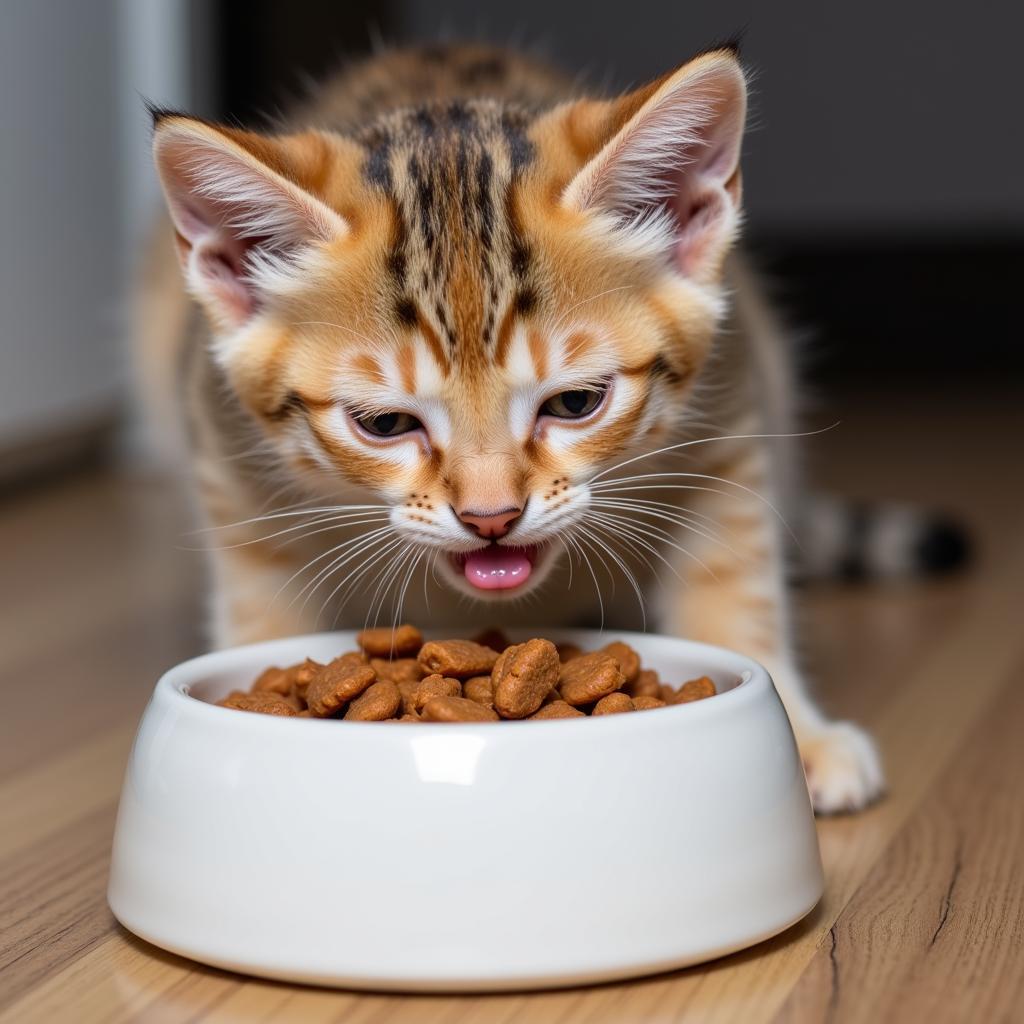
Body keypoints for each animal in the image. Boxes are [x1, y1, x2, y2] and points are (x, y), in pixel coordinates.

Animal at [140, 41, 884, 815]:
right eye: (385, 423)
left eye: (575, 404)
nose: (490, 516)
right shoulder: (223, 448)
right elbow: (261, 598)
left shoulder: (731, 408)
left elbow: (735, 580)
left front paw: (798, 731)